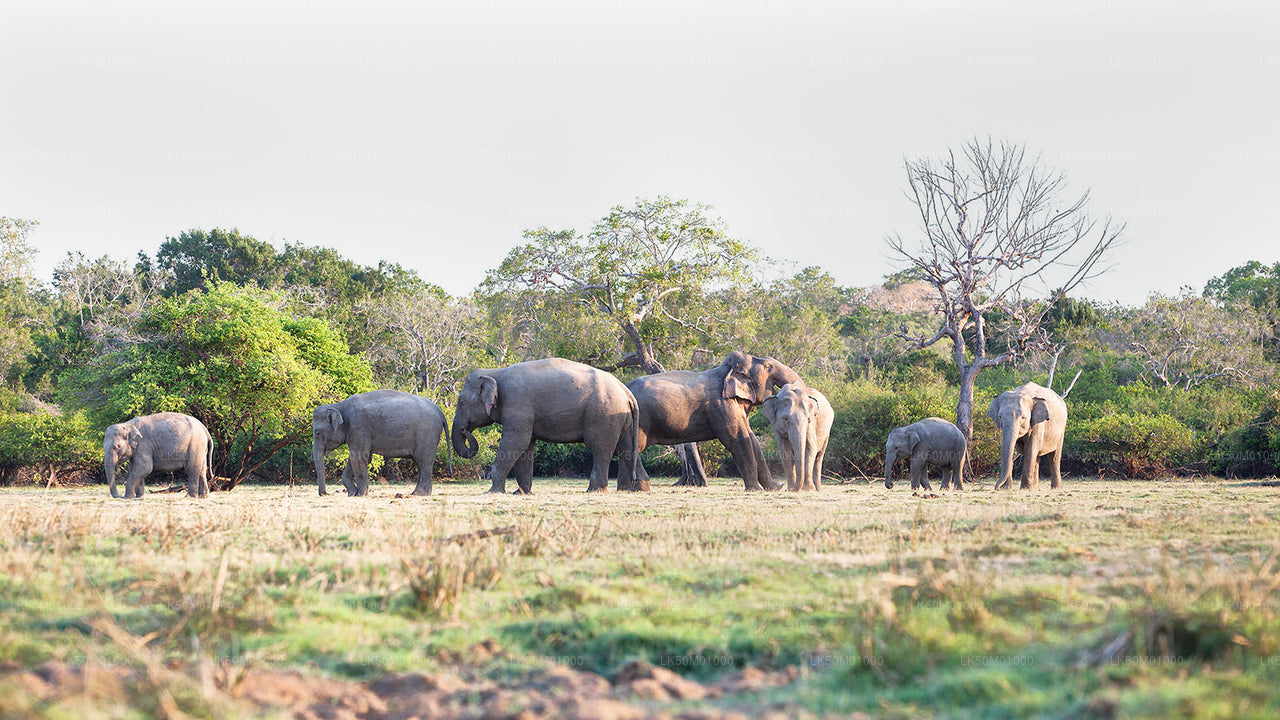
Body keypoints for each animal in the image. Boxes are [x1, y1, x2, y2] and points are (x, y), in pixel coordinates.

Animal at [311, 389, 448, 497]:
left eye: (317, 433)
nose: (325, 493)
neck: (339, 406)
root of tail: (440, 412)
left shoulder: (358, 428)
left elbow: (359, 458)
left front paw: (360, 495)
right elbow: (359, 458)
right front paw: (352, 494)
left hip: (427, 435)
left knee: (424, 462)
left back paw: (419, 494)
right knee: (420, 464)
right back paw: (418, 493)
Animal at [450, 353, 640, 489]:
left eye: (461, 403)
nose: (465, 430)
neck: (495, 371)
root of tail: (627, 392)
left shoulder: (517, 404)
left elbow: (516, 441)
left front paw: (493, 492)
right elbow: (526, 446)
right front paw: (522, 493)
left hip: (603, 415)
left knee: (601, 449)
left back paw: (595, 490)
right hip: (621, 418)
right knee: (627, 449)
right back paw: (640, 487)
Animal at [627, 351, 803, 489]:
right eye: (768, 367)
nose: (784, 485)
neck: (726, 371)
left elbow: (752, 440)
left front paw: (774, 488)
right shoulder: (721, 406)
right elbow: (738, 440)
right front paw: (755, 489)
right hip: (641, 421)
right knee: (633, 448)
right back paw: (638, 487)